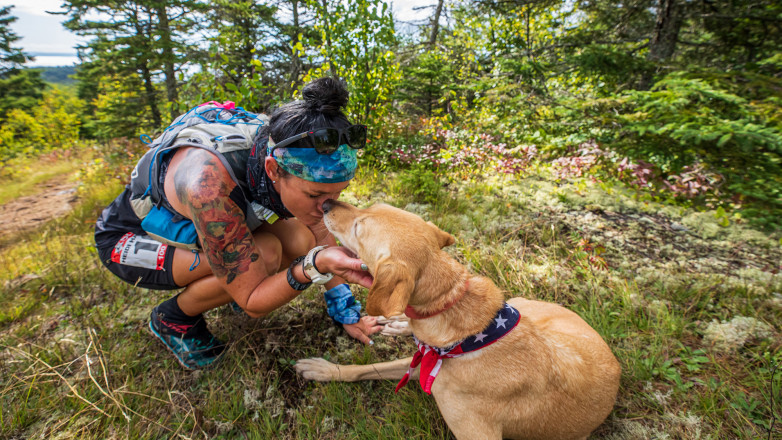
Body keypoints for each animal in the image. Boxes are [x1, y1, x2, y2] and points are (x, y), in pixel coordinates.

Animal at [298, 201, 620, 438]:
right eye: (371, 205)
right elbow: (365, 368)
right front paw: (325, 370)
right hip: (518, 304)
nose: (325, 203)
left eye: (358, 228)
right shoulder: (423, 363)